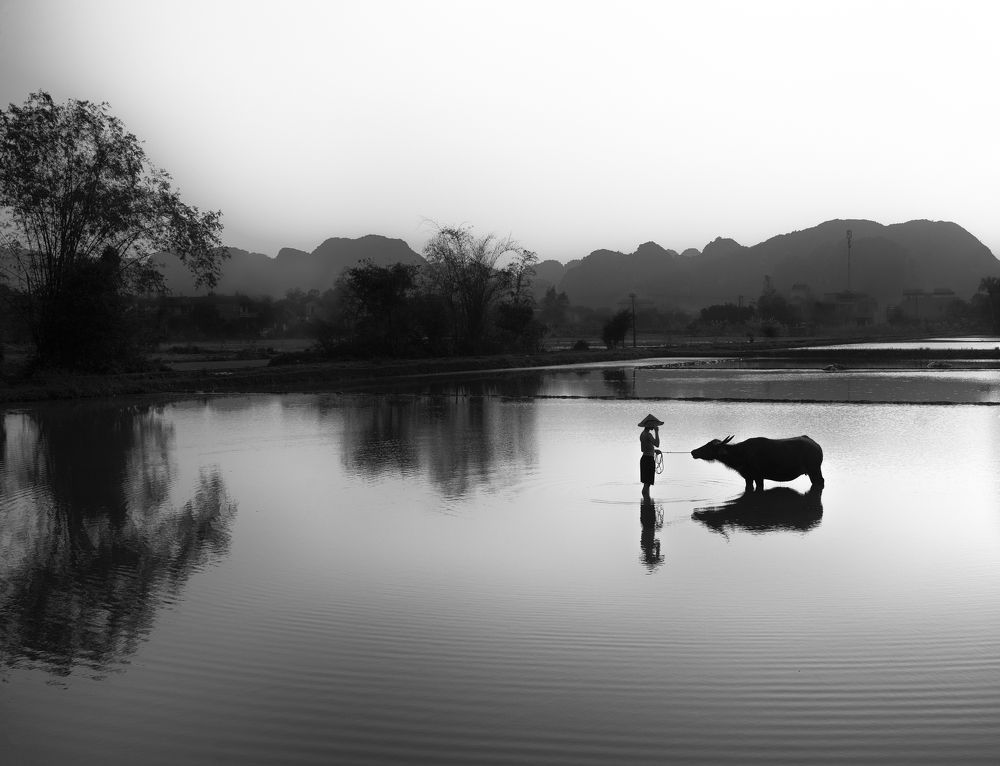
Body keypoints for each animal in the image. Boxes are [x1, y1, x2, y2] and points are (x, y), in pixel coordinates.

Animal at [691, 435, 824, 491]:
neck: (740, 457)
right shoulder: (748, 477)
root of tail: (818, 447)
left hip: (814, 469)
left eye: (709, 447)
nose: (693, 452)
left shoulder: (759, 476)